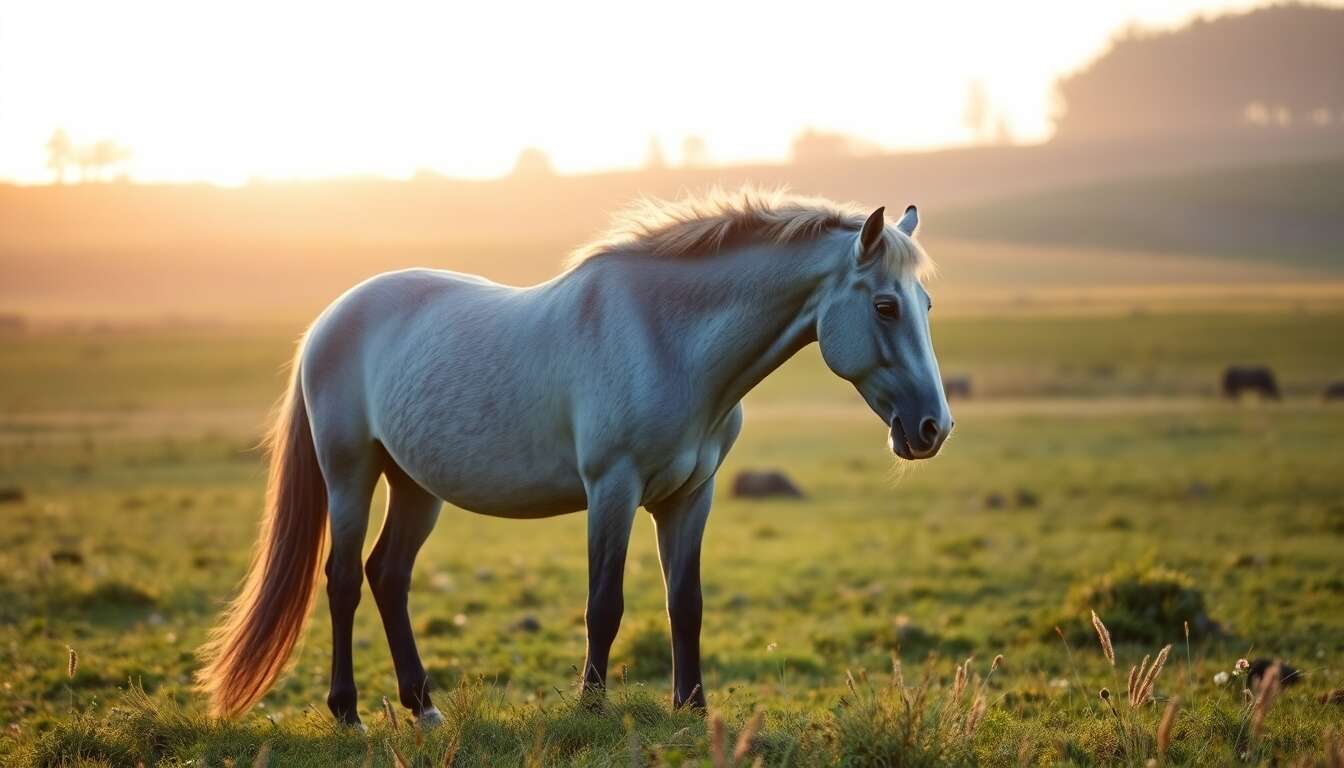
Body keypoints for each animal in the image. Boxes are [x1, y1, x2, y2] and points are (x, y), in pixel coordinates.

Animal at [196, 189, 953, 728]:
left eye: (926, 302)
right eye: (885, 306)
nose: (932, 428)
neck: (667, 338)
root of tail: (329, 320)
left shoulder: (691, 496)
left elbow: (686, 603)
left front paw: (692, 708)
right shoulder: (611, 490)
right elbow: (604, 605)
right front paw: (592, 709)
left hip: (416, 486)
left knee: (389, 575)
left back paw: (424, 707)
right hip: (351, 472)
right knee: (345, 579)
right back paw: (349, 714)